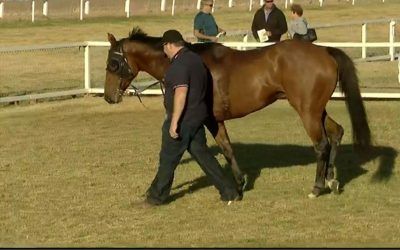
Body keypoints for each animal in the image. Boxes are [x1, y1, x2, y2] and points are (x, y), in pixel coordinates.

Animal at [104, 26, 372, 199]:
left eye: (113, 64)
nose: (109, 97)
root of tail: (324, 51)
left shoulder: (208, 120)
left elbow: (219, 149)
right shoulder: (216, 120)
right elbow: (227, 149)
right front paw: (240, 183)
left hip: (307, 111)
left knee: (321, 144)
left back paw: (317, 187)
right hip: (316, 109)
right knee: (336, 132)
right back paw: (331, 179)